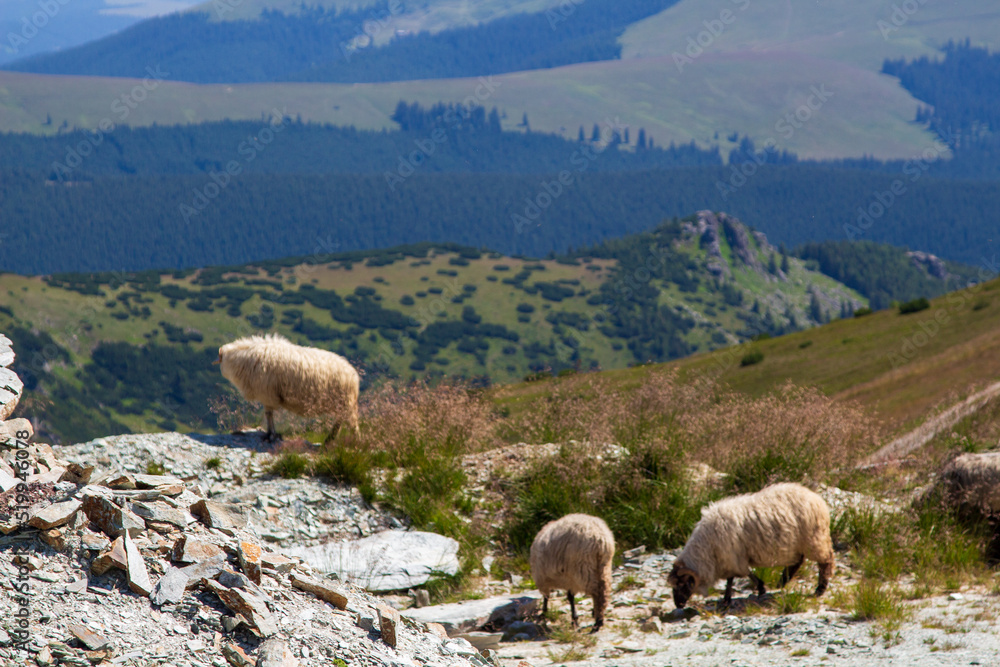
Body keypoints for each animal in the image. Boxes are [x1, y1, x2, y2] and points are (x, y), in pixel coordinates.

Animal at [215, 333, 359, 442]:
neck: (244, 358)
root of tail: (354, 375)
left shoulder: (267, 395)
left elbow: (269, 415)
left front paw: (271, 435)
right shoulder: (267, 396)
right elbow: (269, 415)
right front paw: (270, 433)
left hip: (345, 403)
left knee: (351, 424)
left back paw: (354, 442)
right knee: (340, 422)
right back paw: (330, 440)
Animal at [667, 483, 834, 609]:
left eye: (682, 584)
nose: (678, 605)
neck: (707, 550)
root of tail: (817, 499)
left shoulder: (734, 557)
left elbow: (742, 574)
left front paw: (759, 588)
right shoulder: (730, 559)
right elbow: (733, 578)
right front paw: (728, 598)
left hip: (814, 539)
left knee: (826, 560)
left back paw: (820, 589)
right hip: (800, 544)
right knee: (798, 561)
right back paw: (783, 581)